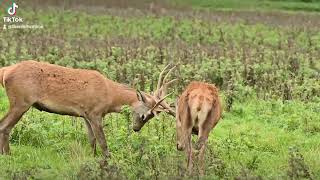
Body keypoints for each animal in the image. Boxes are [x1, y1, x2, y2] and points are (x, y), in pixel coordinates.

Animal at [0, 59, 175, 157]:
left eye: (151, 117)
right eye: (145, 115)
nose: (136, 128)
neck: (110, 96)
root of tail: (6, 71)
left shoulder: (85, 114)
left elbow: (91, 140)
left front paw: (92, 157)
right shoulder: (95, 112)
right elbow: (102, 141)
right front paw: (108, 160)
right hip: (21, 101)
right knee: (5, 126)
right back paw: (8, 154)